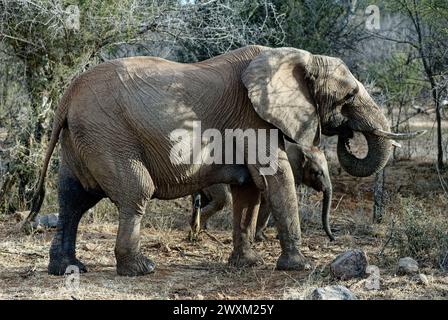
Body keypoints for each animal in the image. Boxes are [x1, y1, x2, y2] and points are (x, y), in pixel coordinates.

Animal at [191, 144, 334, 241]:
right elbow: (268, 205)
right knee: (223, 200)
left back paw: (200, 230)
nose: (333, 239)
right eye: (317, 173)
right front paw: (262, 238)